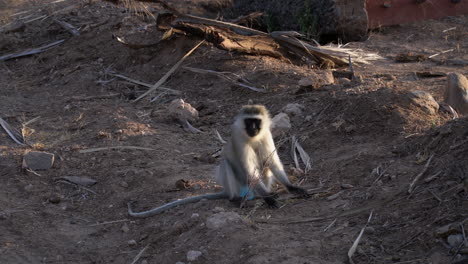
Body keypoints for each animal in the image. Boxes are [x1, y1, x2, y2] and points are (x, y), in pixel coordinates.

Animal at [128, 104, 308, 218]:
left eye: (256, 121)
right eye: (248, 121)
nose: (253, 128)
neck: (253, 137)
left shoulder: (266, 135)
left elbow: (273, 163)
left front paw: (292, 187)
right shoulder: (238, 138)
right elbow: (248, 169)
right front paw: (269, 198)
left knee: (265, 164)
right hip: (238, 186)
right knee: (227, 164)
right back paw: (237, 199)